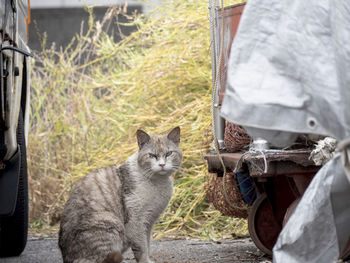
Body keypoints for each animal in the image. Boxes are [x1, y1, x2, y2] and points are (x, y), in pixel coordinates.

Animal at [58, 128, 182, 263]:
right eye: (152, 155)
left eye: (169, 153)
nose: (162, 165)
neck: (158, 182)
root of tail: (66, 256)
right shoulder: (136, 221)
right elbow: (142, 247)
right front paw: (145, 261)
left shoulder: (148, 222)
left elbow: (147, 244)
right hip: (110, 221)